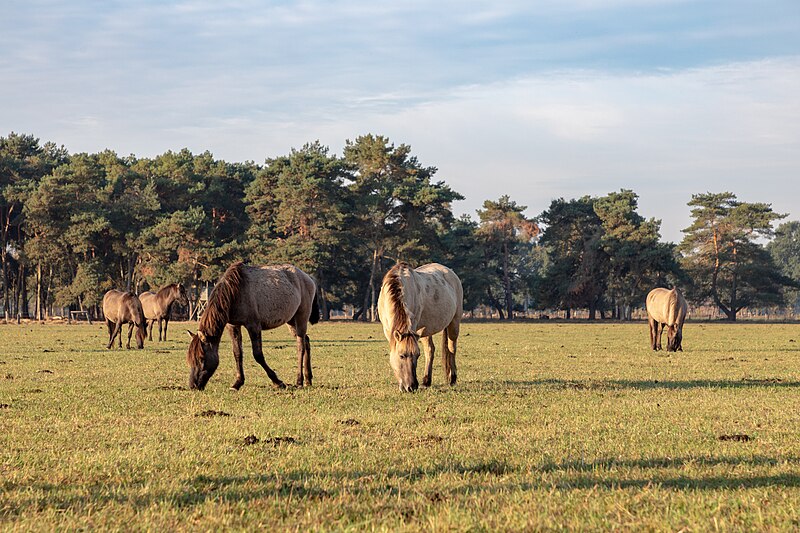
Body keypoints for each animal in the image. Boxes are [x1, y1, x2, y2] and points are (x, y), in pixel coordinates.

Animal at [186, 262, 320, 390]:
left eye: (202, 358)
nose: (193, 385)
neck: (235, 291)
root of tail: (308, 278)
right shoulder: (233, 326)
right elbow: (237, 353)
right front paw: (237, 383)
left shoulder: (253, 326)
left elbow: (258, 355)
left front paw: (277, 382)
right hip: (291, 322)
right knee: (306, 341)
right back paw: (308, 379)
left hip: (301, 318)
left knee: (300, 346)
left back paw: (299, 381)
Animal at [380, 262, 466, 390]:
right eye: (401, 356)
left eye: (417, 355)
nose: (411, 387)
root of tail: (451, 273)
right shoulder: (388, 331)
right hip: (425, 330)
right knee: (430, 350)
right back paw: (426, 381)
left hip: (454, 322)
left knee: (451, 348)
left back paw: (452, 378)